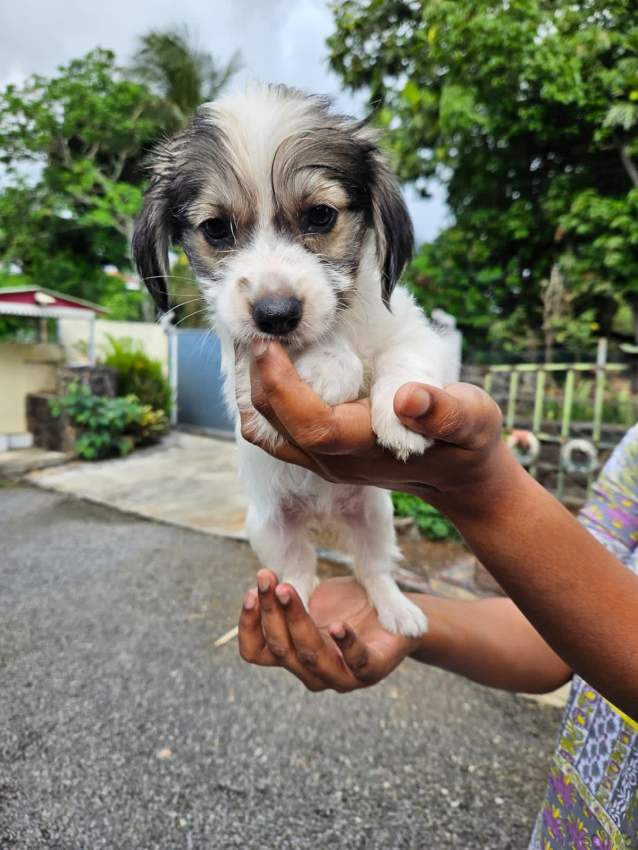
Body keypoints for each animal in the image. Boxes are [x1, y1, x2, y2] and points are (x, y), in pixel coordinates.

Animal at [132, 83, 458, 632]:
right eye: (216, 228)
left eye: (320, 216)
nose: (276, 315)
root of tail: (322, 513)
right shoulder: (243, 376)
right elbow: (339, 362)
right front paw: (326, 367)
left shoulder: (415, 330)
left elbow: (404, 359)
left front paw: (398, 414)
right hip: (269, 527)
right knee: (300, 572)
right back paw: (290, 616)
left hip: (375, 518)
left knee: (373, 570)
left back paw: (397, 610)